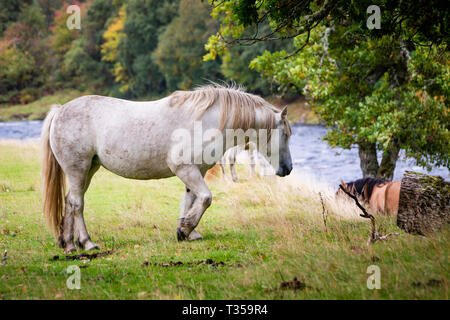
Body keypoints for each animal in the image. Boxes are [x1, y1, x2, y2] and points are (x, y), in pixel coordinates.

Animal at [41, 84, 292, 252]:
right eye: (286, 135)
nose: (288, 169)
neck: (206, 121)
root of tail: (60, 110)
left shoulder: (196, 171)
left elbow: (192, 200)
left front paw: (188, 232)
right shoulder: (184, 169)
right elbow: (206, 198)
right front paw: (185, 229)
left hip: (88, 170)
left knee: (70, 201)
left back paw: (70, 242)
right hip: (78, 169)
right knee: (76, 203)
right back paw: (84, 244)